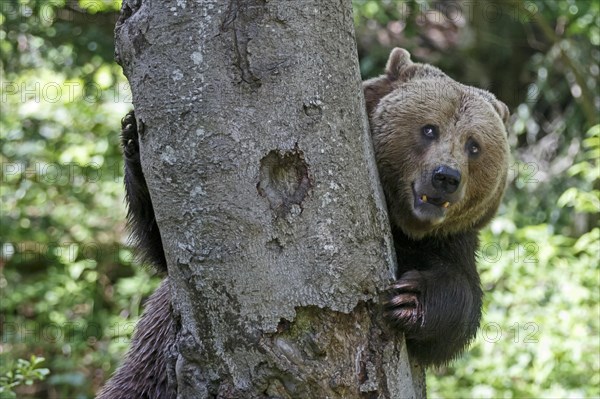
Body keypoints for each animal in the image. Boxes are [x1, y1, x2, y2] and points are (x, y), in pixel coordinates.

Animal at [96, 48, 508, 398]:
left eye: (474, 145)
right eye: (429, 128)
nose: (446, 177)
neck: (400, 222)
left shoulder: (449, 242)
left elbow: (459, 302)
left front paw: (409, 299)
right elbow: (163, 250)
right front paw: (132, 136)